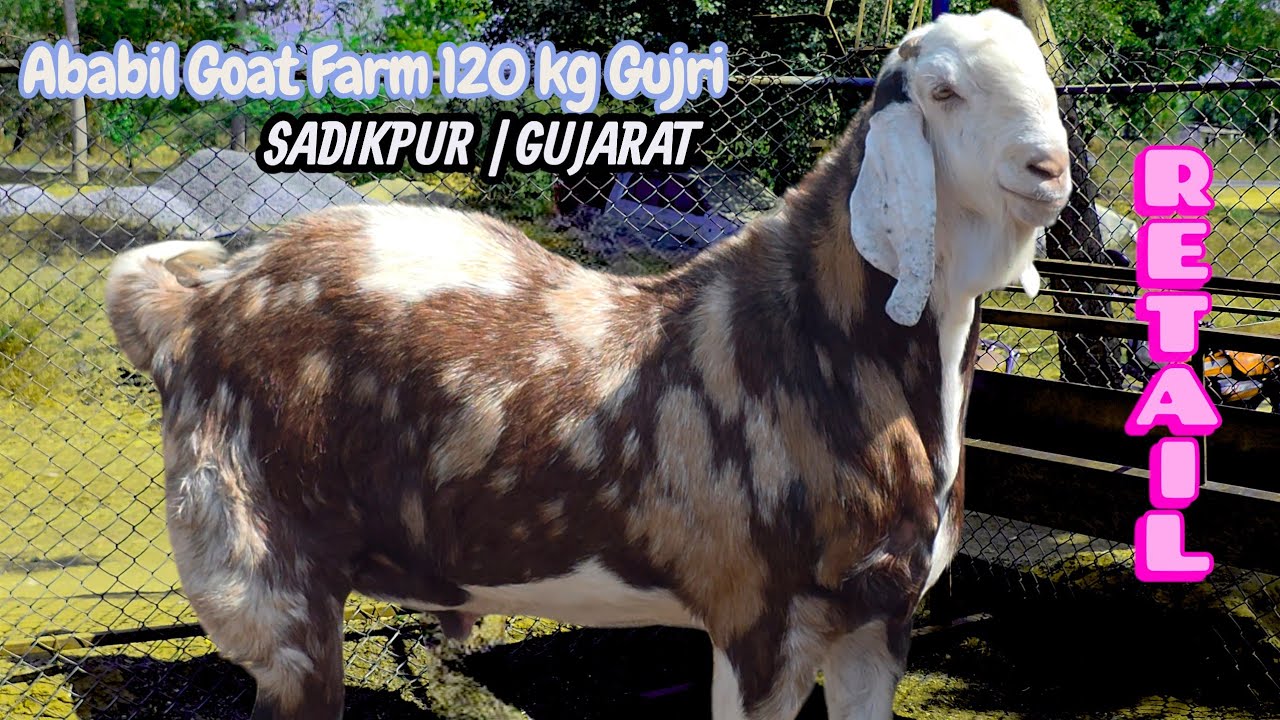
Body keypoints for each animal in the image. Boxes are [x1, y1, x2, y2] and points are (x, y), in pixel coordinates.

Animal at [103, 9, 1070, 720]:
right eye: (944, 91)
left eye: (1042, 79)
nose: (1050, 167)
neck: (826, 341)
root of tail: (189, 309)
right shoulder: (762, 619)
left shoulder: (880, 619)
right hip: (271, 581)